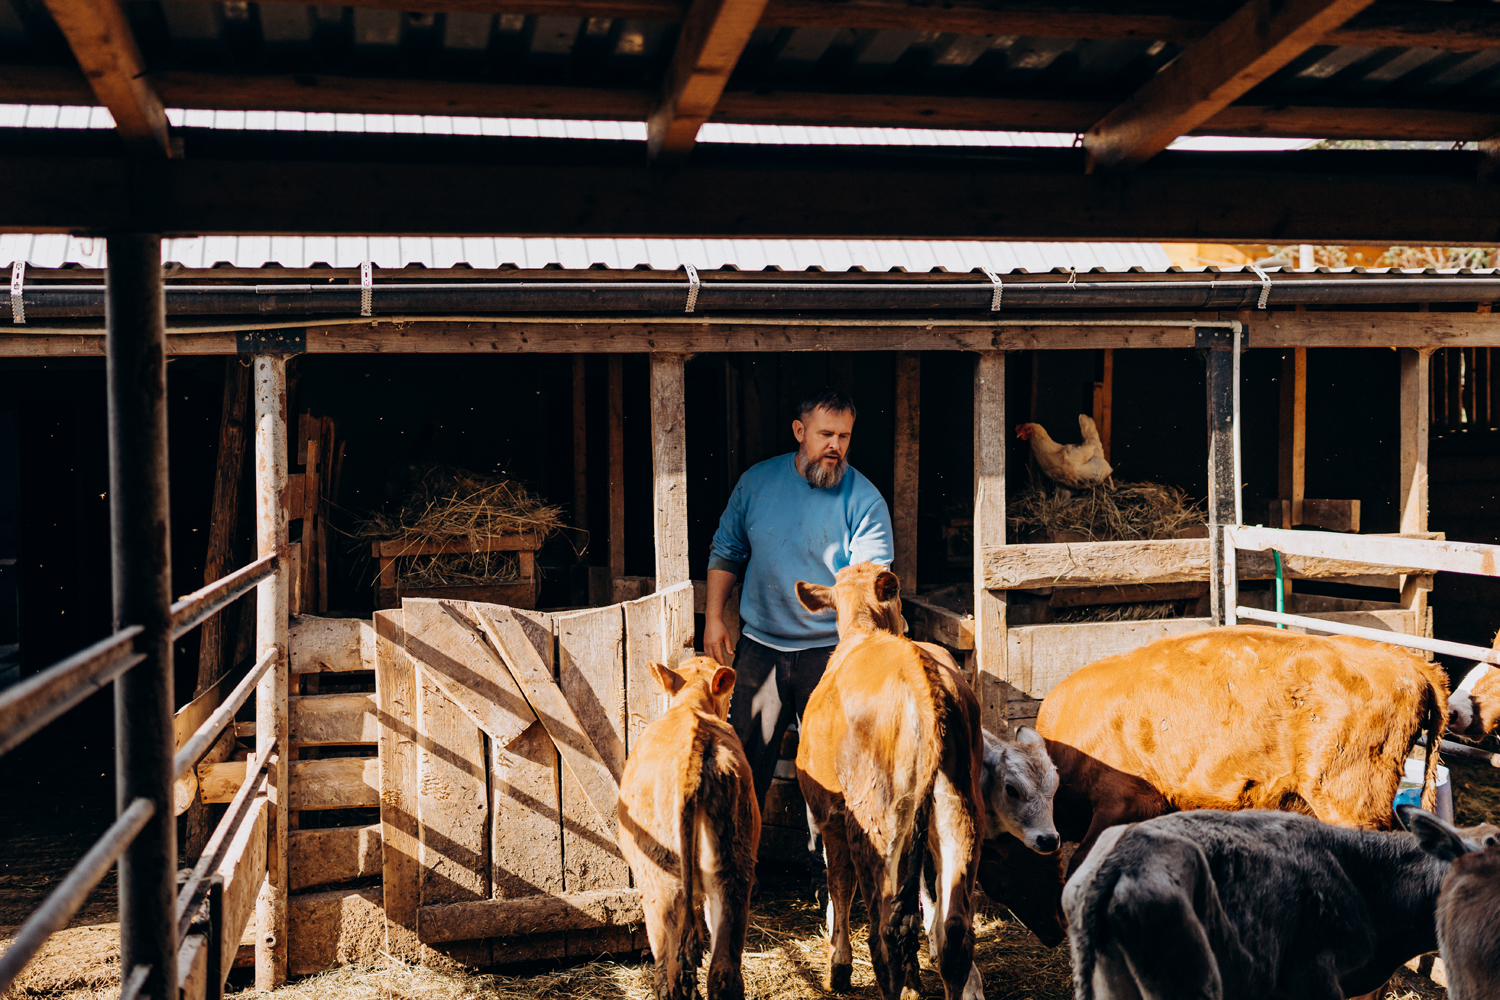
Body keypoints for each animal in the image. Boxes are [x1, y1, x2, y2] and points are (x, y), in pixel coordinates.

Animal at [792, 563, 990, 1000]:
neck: (862, 630)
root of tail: (919, 676)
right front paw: (916, 980)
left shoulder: (829, 815)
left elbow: (839, 884)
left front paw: (838, 969)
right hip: (960, 806)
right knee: (953, 930)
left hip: (874, 820)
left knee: (884, 933)